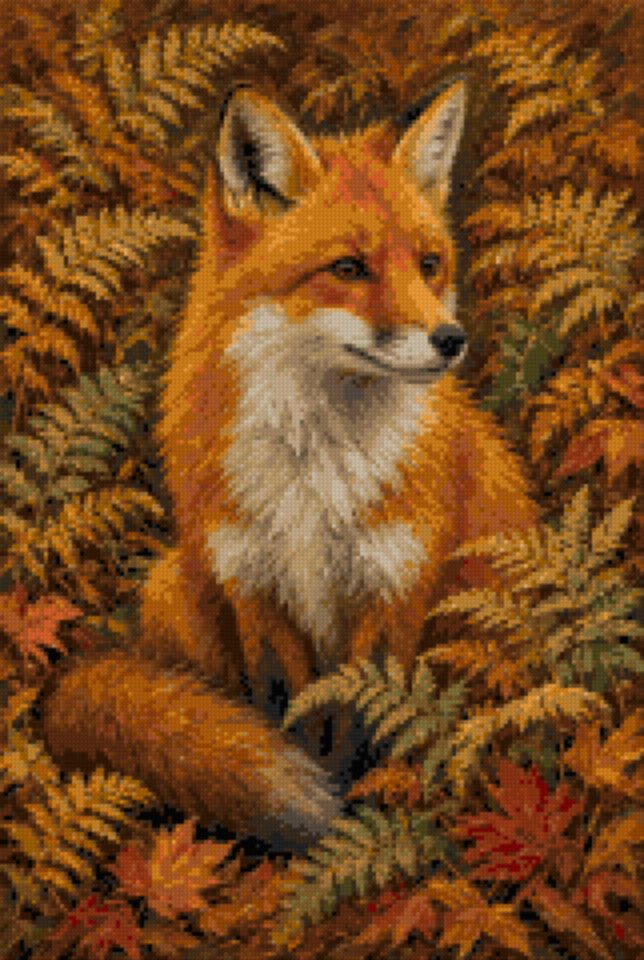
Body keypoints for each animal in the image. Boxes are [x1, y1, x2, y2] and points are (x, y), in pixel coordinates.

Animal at [42, 80, 538, 851]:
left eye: (429, 264)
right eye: (348, 269)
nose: (451, 340)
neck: (318, 474)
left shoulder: (393, 590)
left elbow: (370, 722)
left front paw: (359, 815)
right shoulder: (256, 588)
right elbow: (288, 721)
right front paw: (313, 823)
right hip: (172, 585)